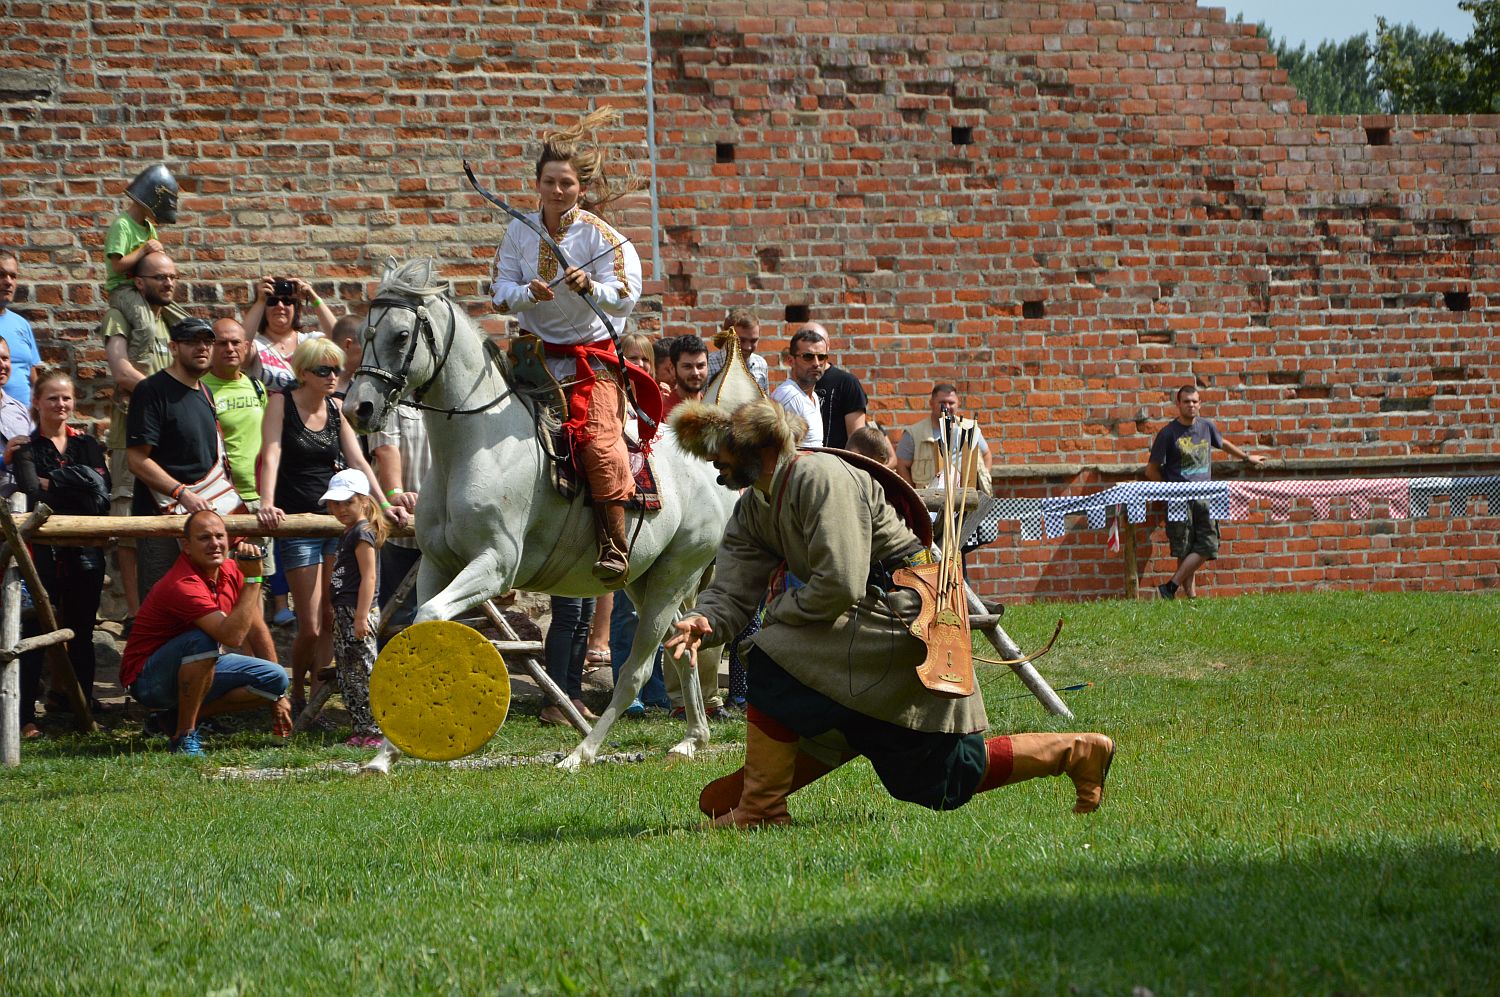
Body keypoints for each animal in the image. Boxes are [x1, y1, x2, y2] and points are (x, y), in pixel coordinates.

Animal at [342, 256, 738, 767]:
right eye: (365, 333)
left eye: (401, 335)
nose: (359, 408)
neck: (471, 448)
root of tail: (710, 470)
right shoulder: (436, 564)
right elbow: (416, 630)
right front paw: (384, 756)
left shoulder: (495, 566)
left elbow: (430, 618)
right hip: (645, 581)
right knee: (682, 649)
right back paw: (692, 737)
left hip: (674, 576)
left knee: (636, 669)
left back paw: (583, 752)